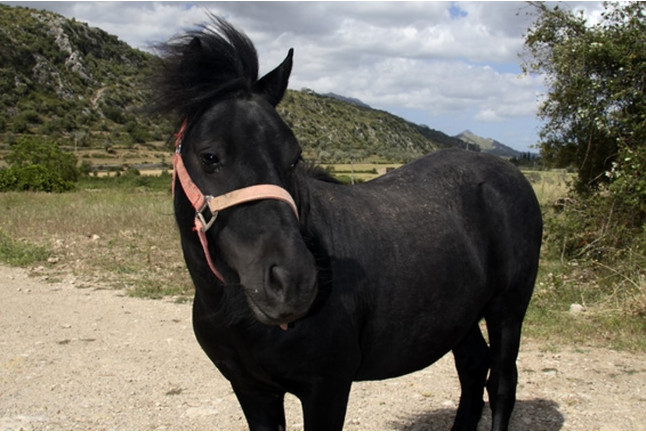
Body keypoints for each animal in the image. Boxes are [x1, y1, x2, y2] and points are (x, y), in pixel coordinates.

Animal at [152, 17, 542, 431]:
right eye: (210, 156)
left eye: (294, 158)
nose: (294, 283)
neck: (236, 312)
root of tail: (508, 171)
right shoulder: (251, 389)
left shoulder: (327, 388)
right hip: (461, 317)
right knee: (472, 367)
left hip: (507, 310)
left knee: (501, 382)